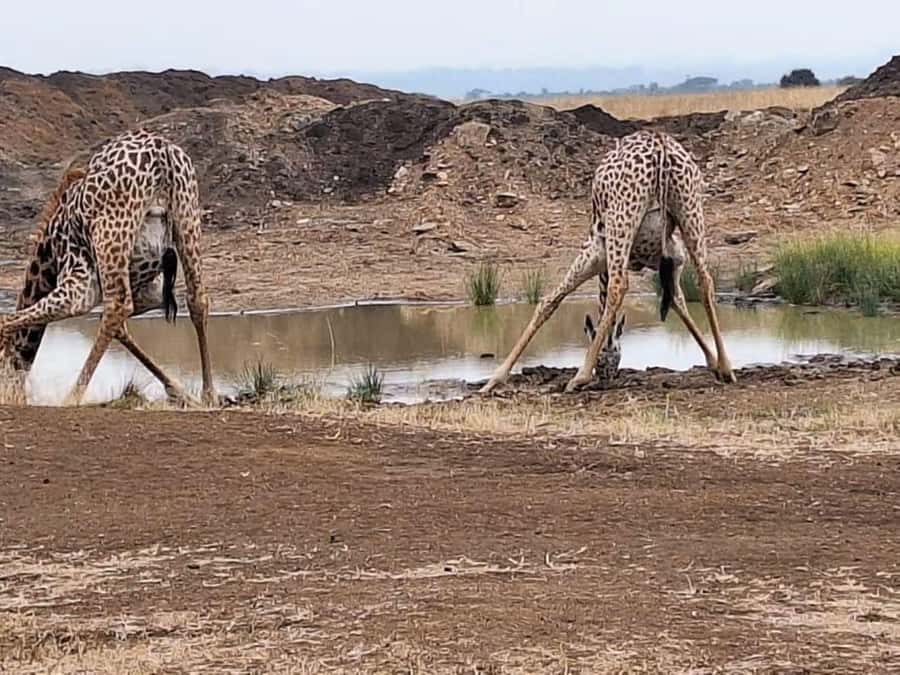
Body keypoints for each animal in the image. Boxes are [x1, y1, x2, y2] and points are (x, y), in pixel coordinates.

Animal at [0, 129, 215, 406]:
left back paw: (72, 398)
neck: (47, 257)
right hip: (187, 215)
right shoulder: (150, 290)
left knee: (117, 306)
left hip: (110, 236)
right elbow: (121, 328)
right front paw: (179, 391)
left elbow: (6, 320)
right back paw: (209, 394)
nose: (14, 397)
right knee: (197, 298)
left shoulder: (80, 276)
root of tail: (162, 153)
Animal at [481, 130, 734, 394]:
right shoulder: (673, 257)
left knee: (618, 285)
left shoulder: (595, 254)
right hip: (690, 207)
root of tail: (659, 143)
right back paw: (727, 368)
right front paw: (713, 362)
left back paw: (579, 377)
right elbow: (677, 298)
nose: (607, 378)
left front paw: (495, 378)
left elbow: (549, 300)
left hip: (622, 217)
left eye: (608, 359)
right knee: (705, 280)